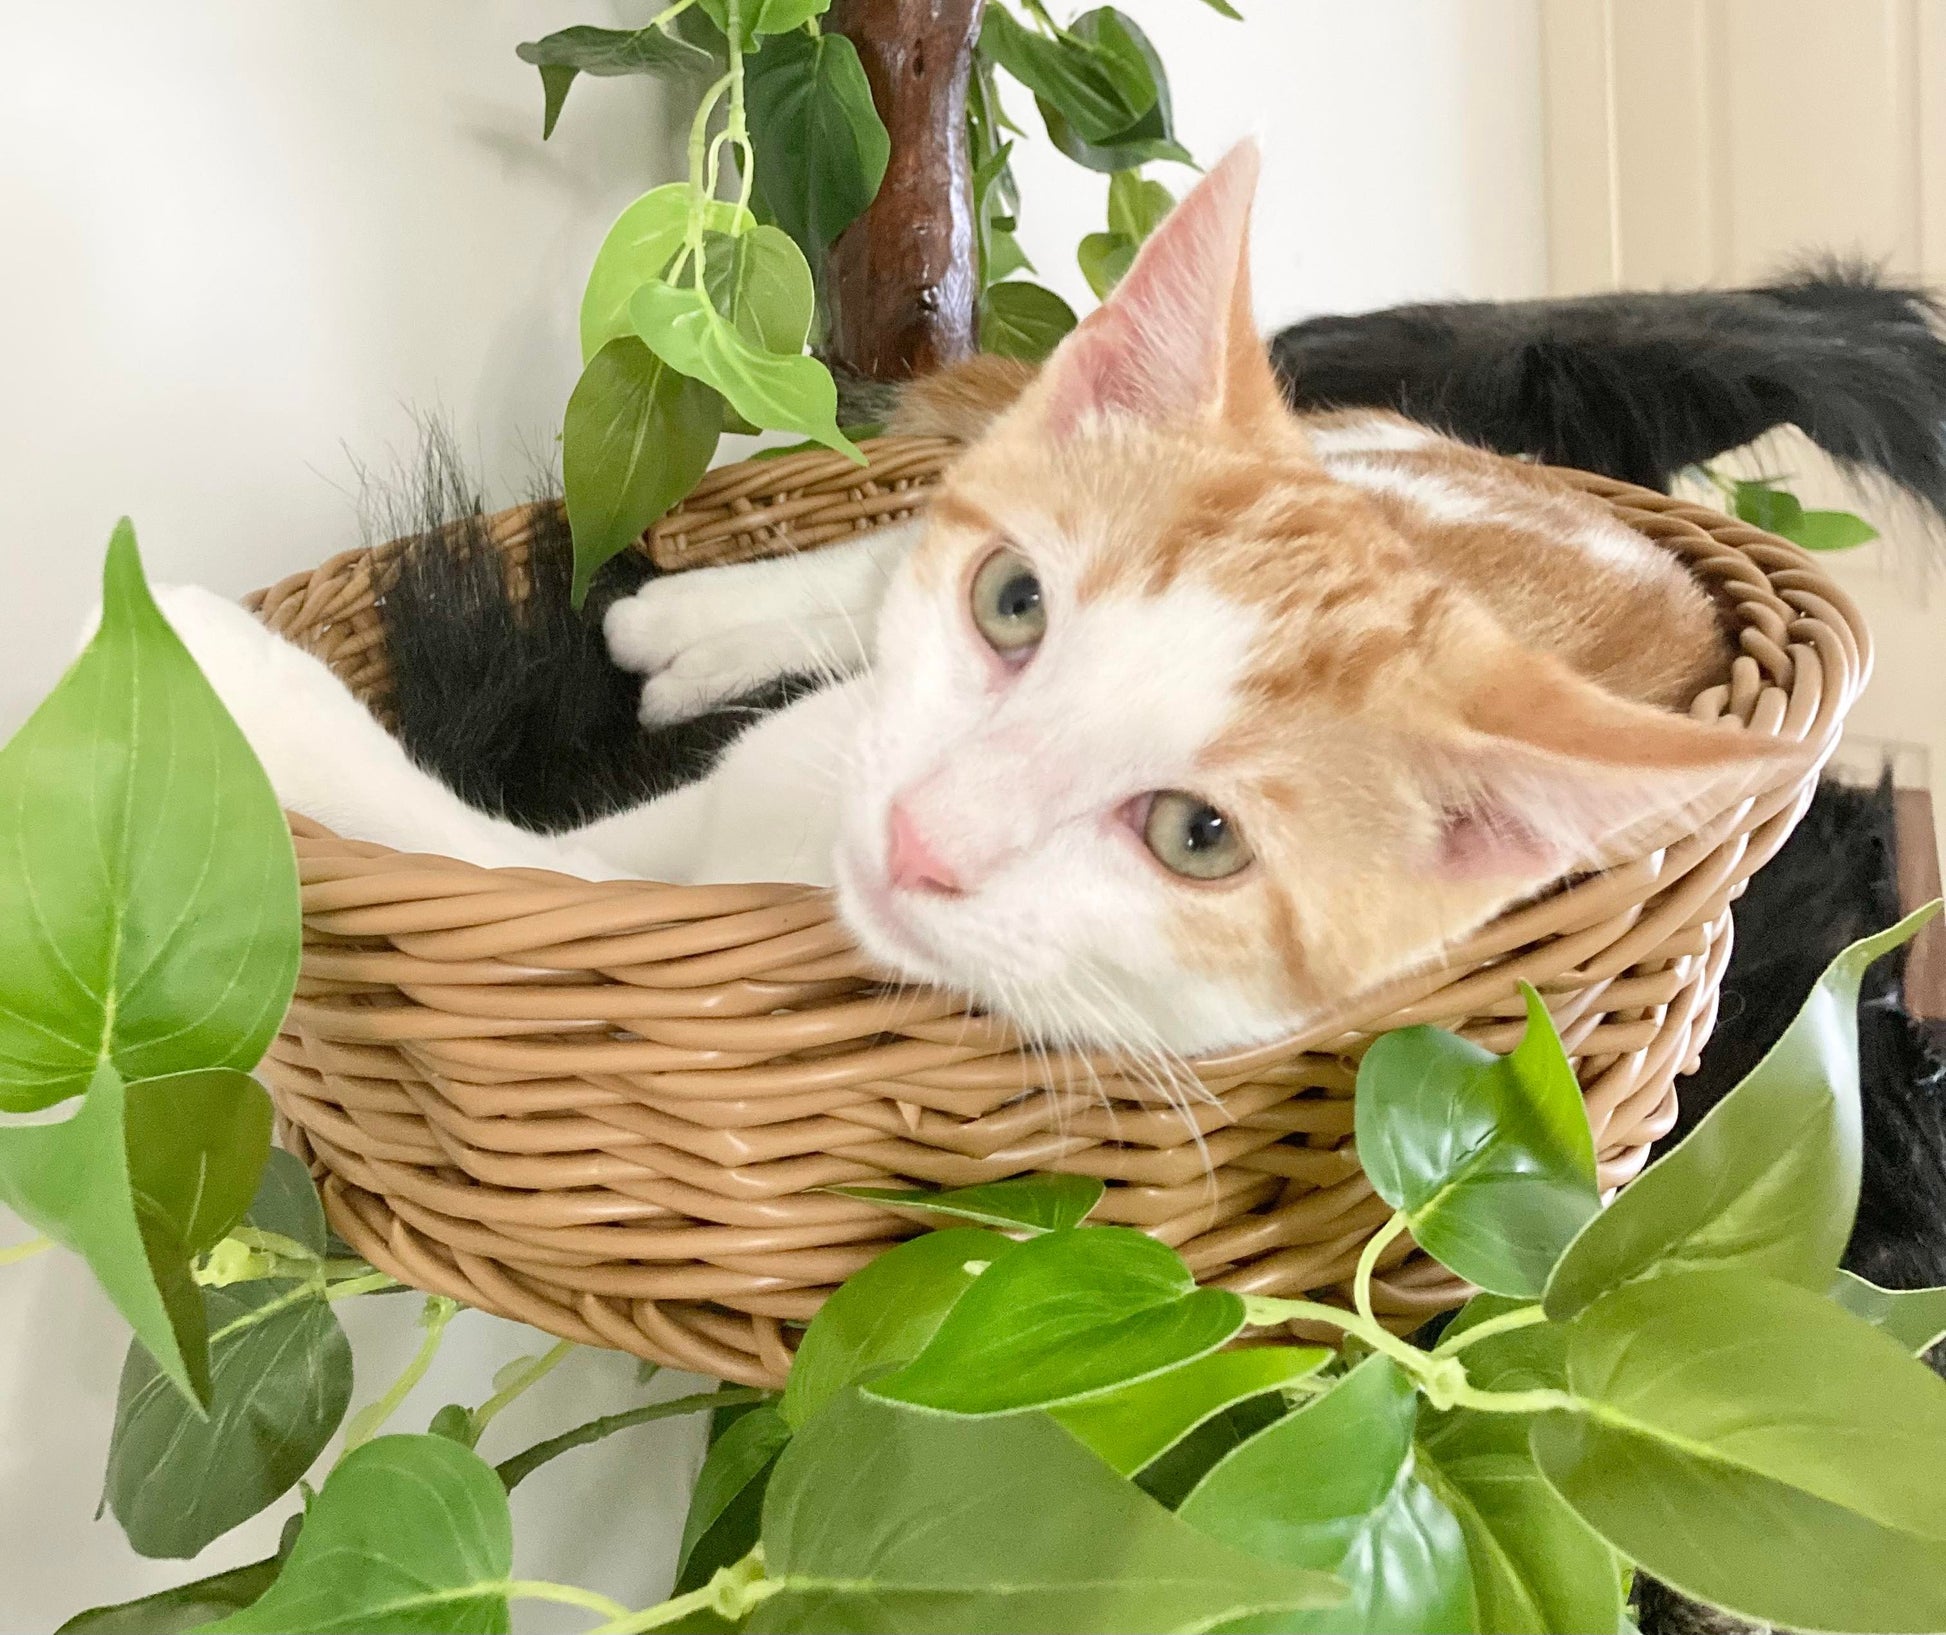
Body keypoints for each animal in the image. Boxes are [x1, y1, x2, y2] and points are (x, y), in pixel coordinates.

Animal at [151, 140, 1790, 1058]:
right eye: (1015, 608)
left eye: (1199, 837)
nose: (921, 838)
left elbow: (468, 848)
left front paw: (208, 659)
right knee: (870, 563)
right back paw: (673, 630)